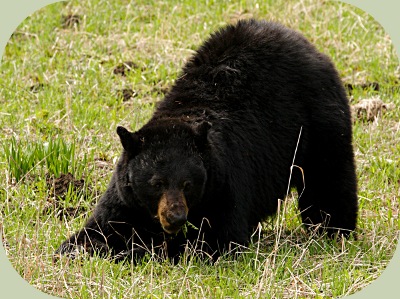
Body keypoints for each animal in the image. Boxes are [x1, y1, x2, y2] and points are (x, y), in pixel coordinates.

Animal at [54, 19, 358, 262]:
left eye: (188, 184)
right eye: (156, 183)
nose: (176, 217)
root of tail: (309, 46)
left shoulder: (225, 182)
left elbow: (218, 239)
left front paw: (145, 249)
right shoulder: (126, 195)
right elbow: (99, 227)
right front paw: (80, 247)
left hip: (320, 123)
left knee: (329, 180)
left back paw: (334, 230)